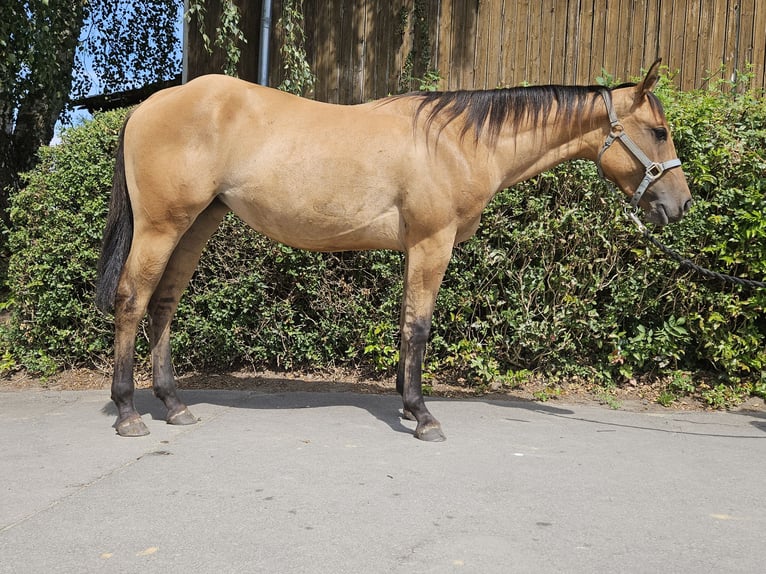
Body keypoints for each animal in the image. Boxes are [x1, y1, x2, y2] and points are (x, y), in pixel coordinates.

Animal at [96, 59, 691, 441]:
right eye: (659, 131)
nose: (680, 204)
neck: (456, 142)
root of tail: (152, 104)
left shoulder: (415, 249)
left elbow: (405, 323)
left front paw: (408, 407)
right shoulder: (432, 243)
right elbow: (419, 327)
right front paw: (423, 416)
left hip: (196, 224)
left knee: (163, 305)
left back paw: (174, 405)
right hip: (161, 226)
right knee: (131, 300)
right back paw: (128, 412)